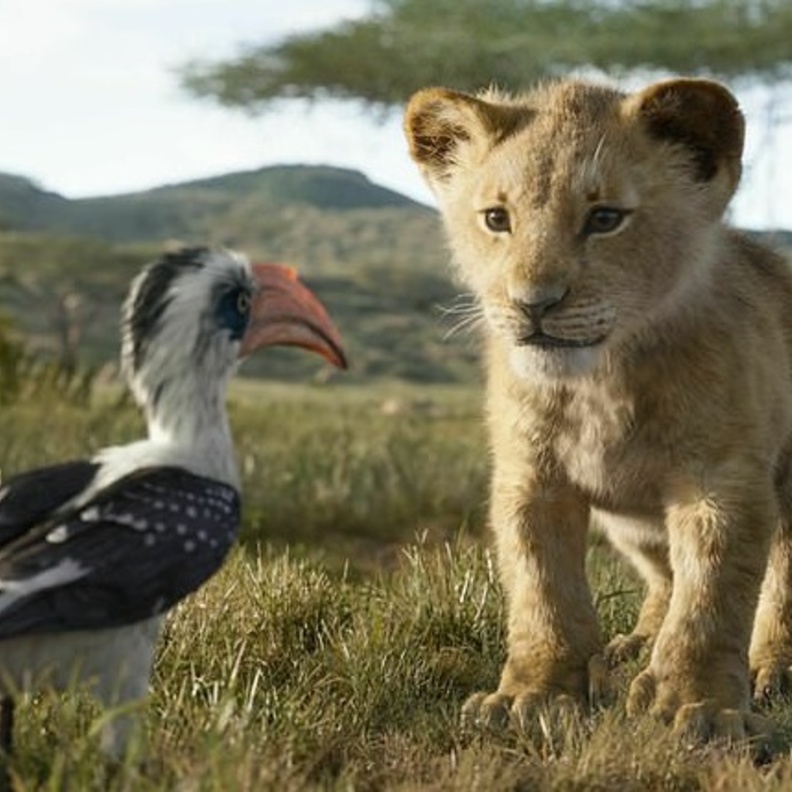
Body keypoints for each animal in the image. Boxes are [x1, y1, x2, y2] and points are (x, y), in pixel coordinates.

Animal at [403, 76, 792, 741]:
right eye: (496, 219)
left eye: (605, 218)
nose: (533, 303)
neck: (599, 384)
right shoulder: (530, 479)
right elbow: (543, 591)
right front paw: (532, 697)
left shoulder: (723, 481)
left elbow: (712, 598)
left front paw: (700, 707)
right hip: (631, 524)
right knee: (663, 576)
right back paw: (633, 646)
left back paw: (773, 668)